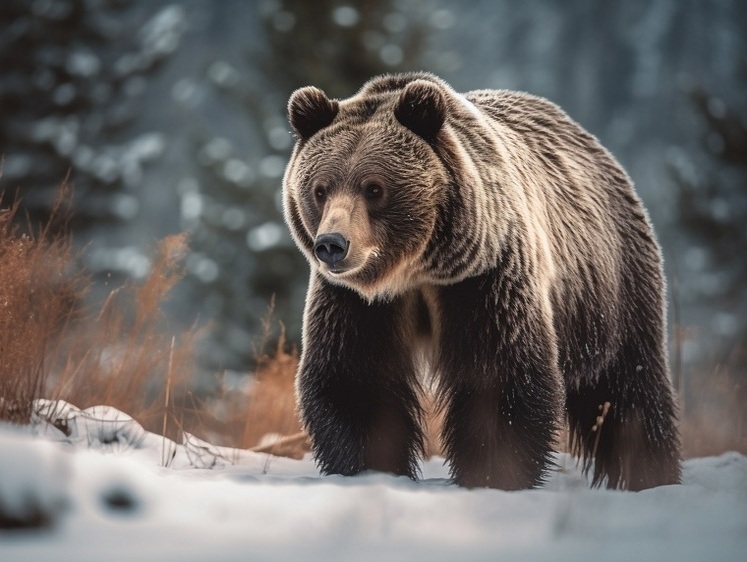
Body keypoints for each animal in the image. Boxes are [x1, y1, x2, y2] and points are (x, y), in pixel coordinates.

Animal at [282, 71, 684, 490]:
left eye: (374, 187)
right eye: (320, 189)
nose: (332, 245)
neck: (417, 268)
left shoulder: (485, 278)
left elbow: (498, 380)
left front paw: (495, 472)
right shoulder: (357, 301)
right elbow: (357, 380)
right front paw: (368, 468)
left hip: (611, 287)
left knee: (629, 385)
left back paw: (651, 472)